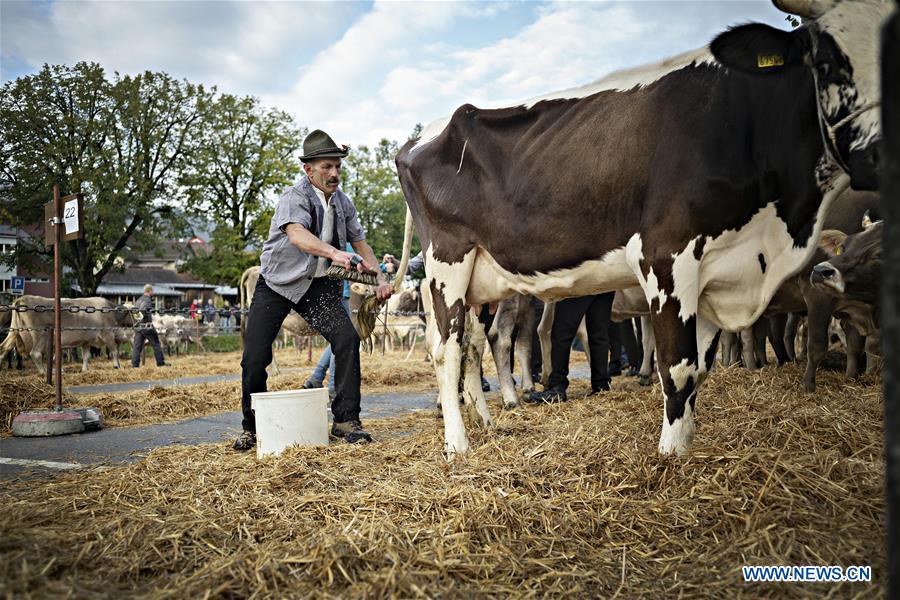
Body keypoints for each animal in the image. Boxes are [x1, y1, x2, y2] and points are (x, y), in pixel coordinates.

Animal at [394, 0, 884, 452]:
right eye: (827, 62)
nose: (880, 154)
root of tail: (424, 134)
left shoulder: (717, 271)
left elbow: (700, 367)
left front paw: (684, 453)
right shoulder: (667, 256)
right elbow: (679, 366)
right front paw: (668, 457)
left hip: (481, 279)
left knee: (472, 343)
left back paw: (486, 422)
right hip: (447, 263)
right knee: (448, 349)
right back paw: (458, 443)